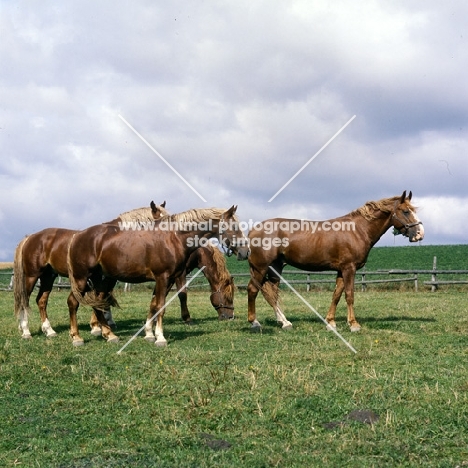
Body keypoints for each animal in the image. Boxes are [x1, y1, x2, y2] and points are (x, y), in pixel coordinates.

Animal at [12, 199, 169, 338]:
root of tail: (31, 237)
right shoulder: (103, 278)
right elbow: (99, 299)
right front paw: (97, 327)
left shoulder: (107, 279)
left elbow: (102, 299)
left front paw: (100, 325)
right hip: (32, 276)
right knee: (24, 300)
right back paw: (25, 330)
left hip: (48, 277)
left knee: (41, 301)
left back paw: (49, 330)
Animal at [90, 241, 238, 332]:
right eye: (228, 297)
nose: (230, 317)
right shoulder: (179, 274)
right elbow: (182, 295)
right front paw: (187, 319)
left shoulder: (168, 276)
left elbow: (160, 296)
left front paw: (153, 319)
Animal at [249, 191, 424, 332]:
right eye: (406, 211)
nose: (420, 234)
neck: (357, 230)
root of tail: (252, 230)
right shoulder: (349, 268)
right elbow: (349, 295)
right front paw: (353, 324)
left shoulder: (341, 270)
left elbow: (336, 295)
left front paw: (330, 322)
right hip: (260, 267)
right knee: (253, 289)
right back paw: (255, 323)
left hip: (275, 267)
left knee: (270, 291)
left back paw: (284, 322)